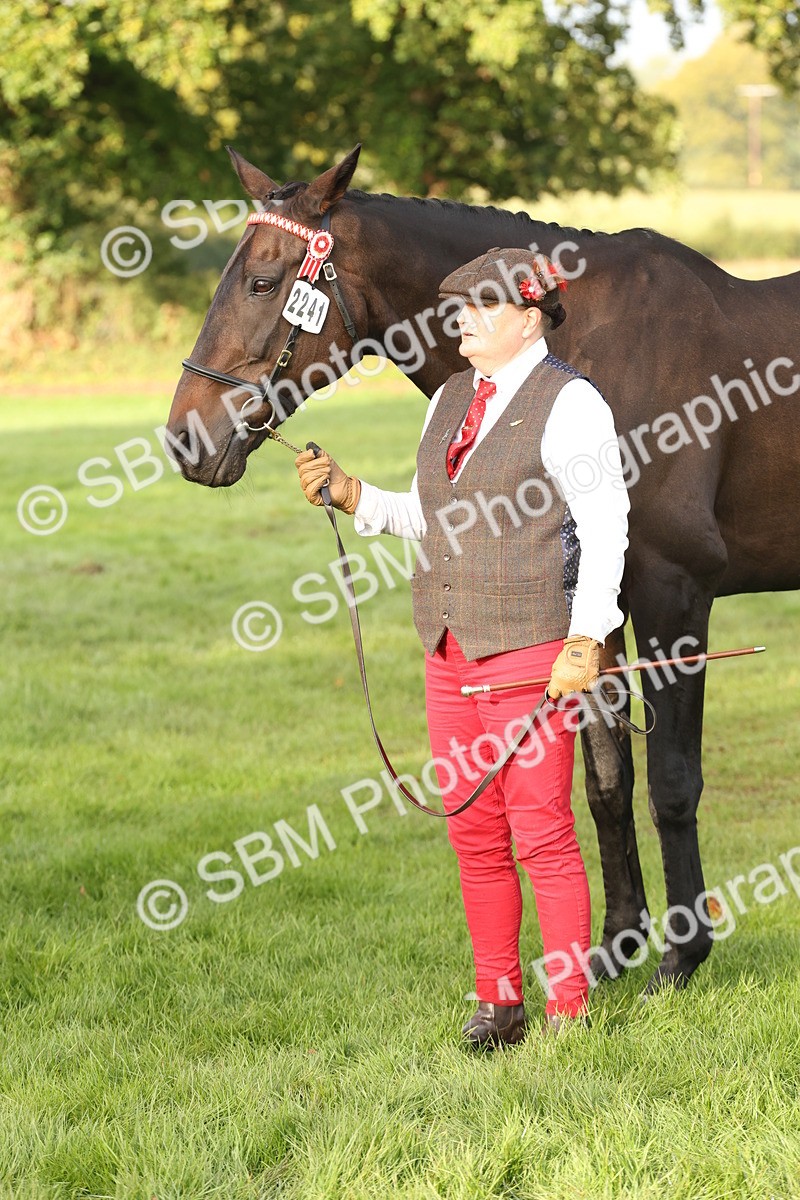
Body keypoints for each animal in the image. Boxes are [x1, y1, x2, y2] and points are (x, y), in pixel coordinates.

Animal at [166, 144, 800, 997]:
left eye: (264, 282)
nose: (184, 439)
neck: (598, 348)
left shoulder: (676, 596)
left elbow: (672, 782)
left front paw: (681, 956)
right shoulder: (593, 614)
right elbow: (607, 782)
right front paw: (614, 947)